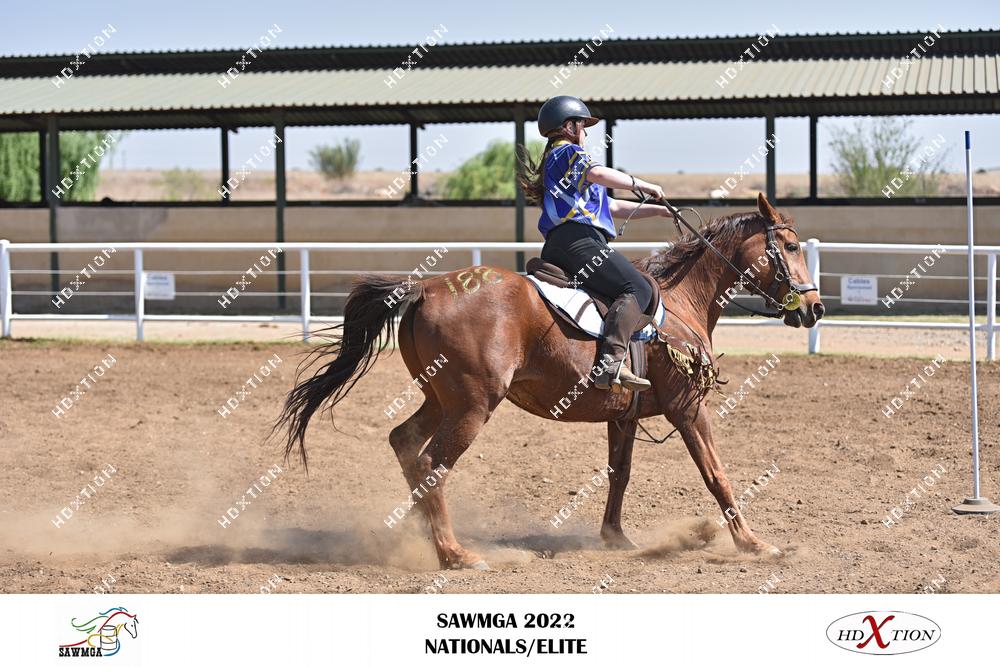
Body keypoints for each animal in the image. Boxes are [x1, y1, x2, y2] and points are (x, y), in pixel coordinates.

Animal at [274, 193, 824, 570]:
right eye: (791, 246)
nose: (815, 308)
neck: (679, 302)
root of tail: (426, 287)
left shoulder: (624, 416)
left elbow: (619, 474)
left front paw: (615, 538)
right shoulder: (688, 408)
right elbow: (716, 474)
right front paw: (753, 543)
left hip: (440, 398)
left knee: (405, 444)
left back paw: (417, 536)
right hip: (473, 405)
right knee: (431, 463)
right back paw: (455, 554)